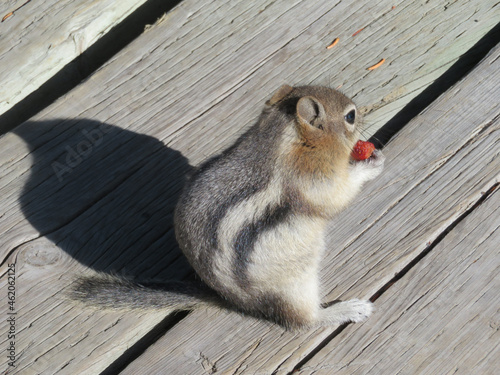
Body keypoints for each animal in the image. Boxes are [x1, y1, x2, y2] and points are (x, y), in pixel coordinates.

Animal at [70, 86, 384, 332]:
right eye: (350, 116)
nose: (362, 113)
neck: (279, 137)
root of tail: (236, 302)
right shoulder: (311, 179)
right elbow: (335, 197)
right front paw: (369, 165)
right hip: (295, 288)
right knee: (302, 322)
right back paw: (347, 310)